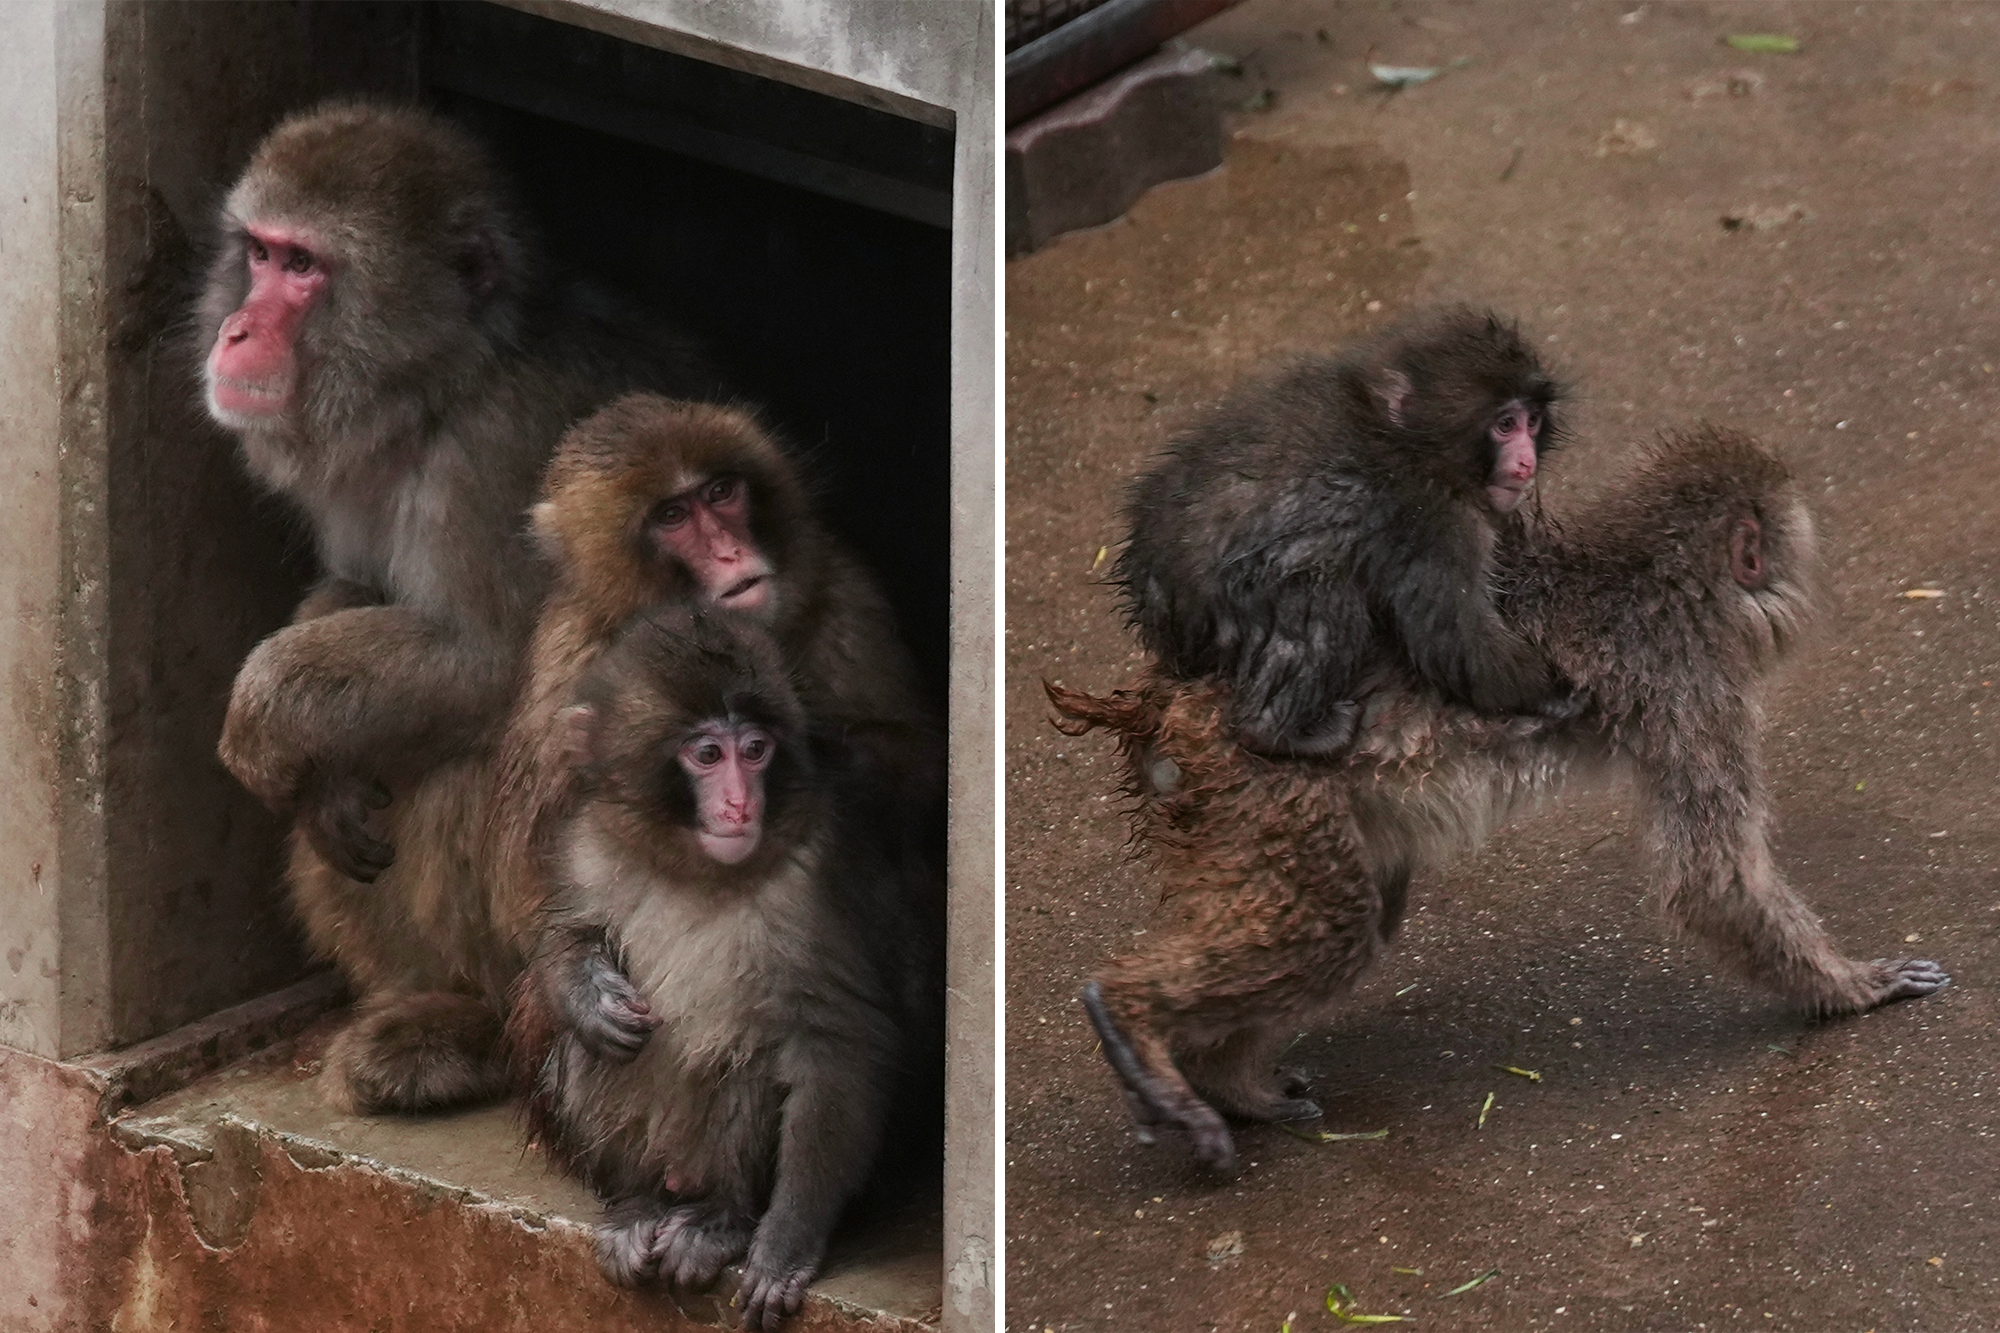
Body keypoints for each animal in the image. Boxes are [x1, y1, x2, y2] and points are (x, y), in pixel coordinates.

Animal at [197, 101, 721, 1112]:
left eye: (305, 268)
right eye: (261, 253)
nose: (237, 328)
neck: (445, 387)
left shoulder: (502, 453)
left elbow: (496, 661)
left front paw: (266, 709)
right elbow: (357, 591)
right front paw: (324, 774)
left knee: (473, 759)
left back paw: (476, 1030)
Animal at [512, 605, 935, 1330]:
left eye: (756, 750)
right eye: (708, 755)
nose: (740, 804)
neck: (695, 868)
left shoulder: (813, 882)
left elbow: (841, 1041)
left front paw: (787, 1241)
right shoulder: (589, 840)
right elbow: (562, 936)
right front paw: (588, 996)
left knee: (750, 1061)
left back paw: (720, 1219)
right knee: (588, 1055)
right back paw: (640, 1204)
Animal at [1051, 426, 1948, 1173]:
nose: (1804, 588)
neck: (1650, 576)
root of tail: (1169, 699)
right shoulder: (1690, 685)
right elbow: (1714, 882)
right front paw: (1851, 987)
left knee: (1360, 912)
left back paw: (1224, 1079)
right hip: (1256, 789)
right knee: (1331, 929)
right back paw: (1134, 1018)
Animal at [1116, 306, 1571, 758]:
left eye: (1532, 422)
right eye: (1505, 424)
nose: (1526, 462)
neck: (1409, 441)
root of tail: (1152, 592)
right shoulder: (1432, 518)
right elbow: (1456, 637)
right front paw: (1553, 694)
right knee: (1321, 594)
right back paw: (1273, 731)